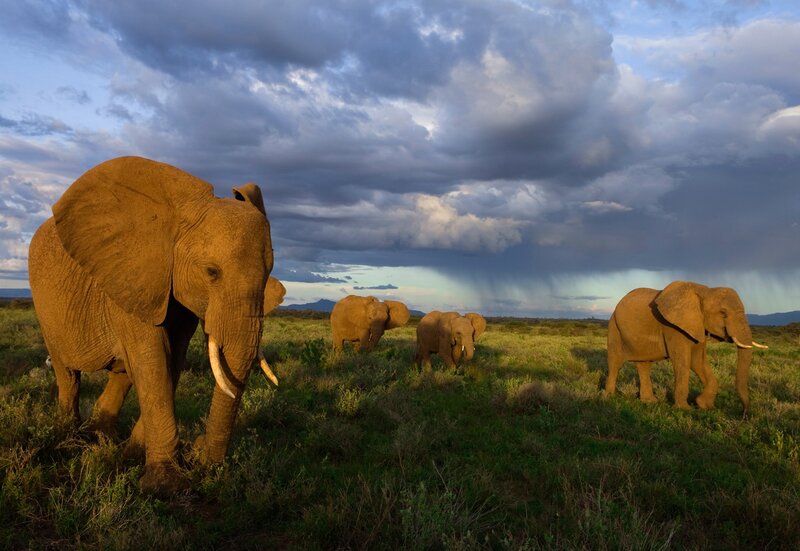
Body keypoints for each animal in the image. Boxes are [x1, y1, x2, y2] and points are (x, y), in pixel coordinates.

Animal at [28, 156, 277, 493]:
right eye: (211, 272)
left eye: (269, 274)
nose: (200, 451)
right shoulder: (132, 277)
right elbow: (153, 361)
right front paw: (164, 485)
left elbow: (171, 362)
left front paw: (136, 458)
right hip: (46, 309)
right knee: (68, 374)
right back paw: (70, 438)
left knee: (122, 373)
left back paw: (103, 439)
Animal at [603, 281, 767, 412]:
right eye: (723, 313)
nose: (744, 414)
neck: (705, 290)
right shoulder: (672, 327)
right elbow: (683, 361)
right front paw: (685, 409)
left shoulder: (698, 326)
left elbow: (698, 361)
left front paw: (703, 405)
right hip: (613, 327)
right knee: (615, 363)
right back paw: (609, 397)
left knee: (644, 365)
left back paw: (649, 402)